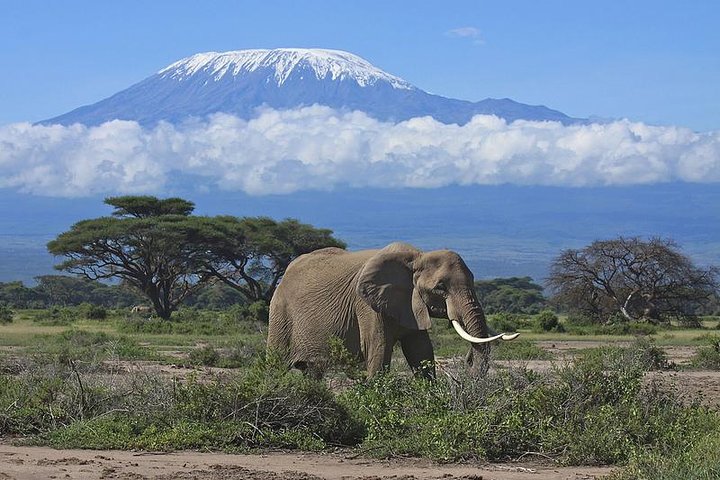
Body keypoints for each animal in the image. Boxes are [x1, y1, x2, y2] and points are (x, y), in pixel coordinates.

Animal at [266, 244, 516, 378]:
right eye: (440, 287)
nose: (467, 360)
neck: (417, 258)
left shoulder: (411, 305)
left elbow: (421, 351)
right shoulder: (366, 306)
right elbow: (378, 350)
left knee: (312, 372)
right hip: (279, 312)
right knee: (276, 365)